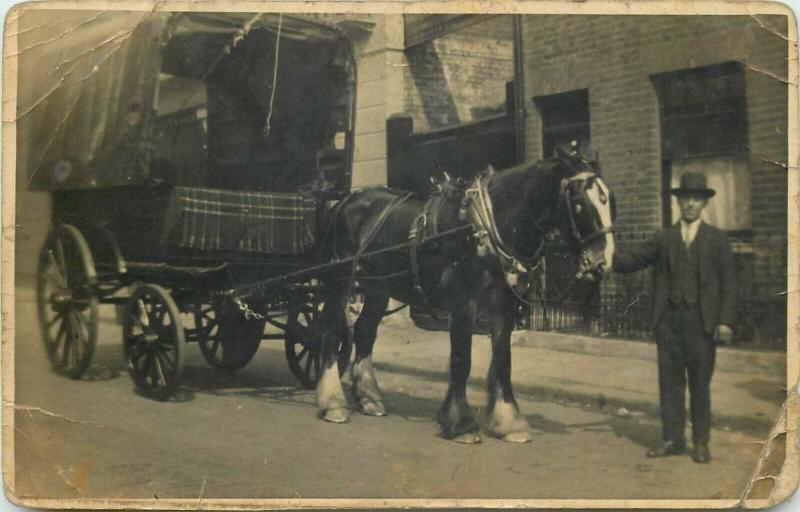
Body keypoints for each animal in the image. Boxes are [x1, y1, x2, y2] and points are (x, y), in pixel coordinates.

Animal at [316, 149, 616, 444]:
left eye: (609, 200)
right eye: (578, 203)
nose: (603, 262)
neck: (485, 226)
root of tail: (345, 202)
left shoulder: (504, 304)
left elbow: (503, 360)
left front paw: (508, 421)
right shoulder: (462, 300)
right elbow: (461, 359)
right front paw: (460, 424)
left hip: (379, 288)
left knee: (365, 332)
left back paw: (369, 398)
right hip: (340, 281)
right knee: (331, 332)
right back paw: (333, 403)